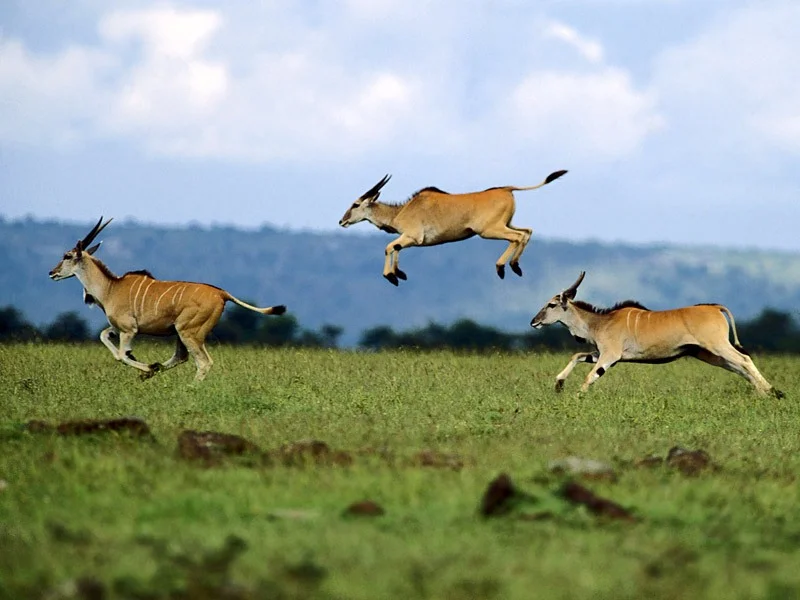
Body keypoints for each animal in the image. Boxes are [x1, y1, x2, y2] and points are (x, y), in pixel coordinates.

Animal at [49, 218, 288, 382]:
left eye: (67, 256)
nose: (52, 273)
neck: (110, 288)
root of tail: (222, 294)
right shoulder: (117, 328)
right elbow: (104, 337)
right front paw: (148, 368)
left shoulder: (129, 330)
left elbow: (121, 355)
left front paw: (145, 367)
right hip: (180, 333)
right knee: (182, 357)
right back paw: (156, 370)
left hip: (188, 331)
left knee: (203, 362)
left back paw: (188, 387)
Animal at [340, 169, 564, 286]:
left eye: (356, 205)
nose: (342, 221)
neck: (402, 211)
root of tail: (507, 189)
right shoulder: (408, 240)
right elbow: (395, 248)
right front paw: (399, 274)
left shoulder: (412, 237)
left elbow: (389, 247)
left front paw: (392, 276)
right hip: (504, 225)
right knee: (527, 232)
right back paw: (514, 266)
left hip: (489, 231)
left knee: (517, 237)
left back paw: (502, 267)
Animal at [528, 274, 784, 398]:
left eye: (551, 304)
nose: (534, 322)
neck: (600, 322)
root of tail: (714, 307)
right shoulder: (601, 354)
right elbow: (577, 356)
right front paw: (559, 384)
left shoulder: (609, 356)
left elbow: (590, 376)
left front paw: (577, 397)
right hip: (709, 354)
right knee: (739, 367)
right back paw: (767, 393)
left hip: (718, 346)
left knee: (744, 360)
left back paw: (772, 392)